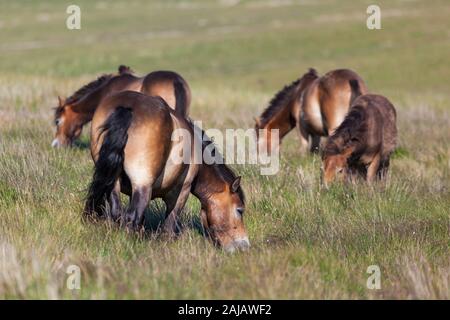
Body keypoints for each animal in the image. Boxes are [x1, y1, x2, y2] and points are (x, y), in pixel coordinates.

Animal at [84, 90, 250, 252]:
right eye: (239, 210)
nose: (244, 246)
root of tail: (128, 107)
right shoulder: (181, 191)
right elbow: (169, 225)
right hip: (143, 184)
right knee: (132, 216)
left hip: (113, 183)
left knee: (118, 213)